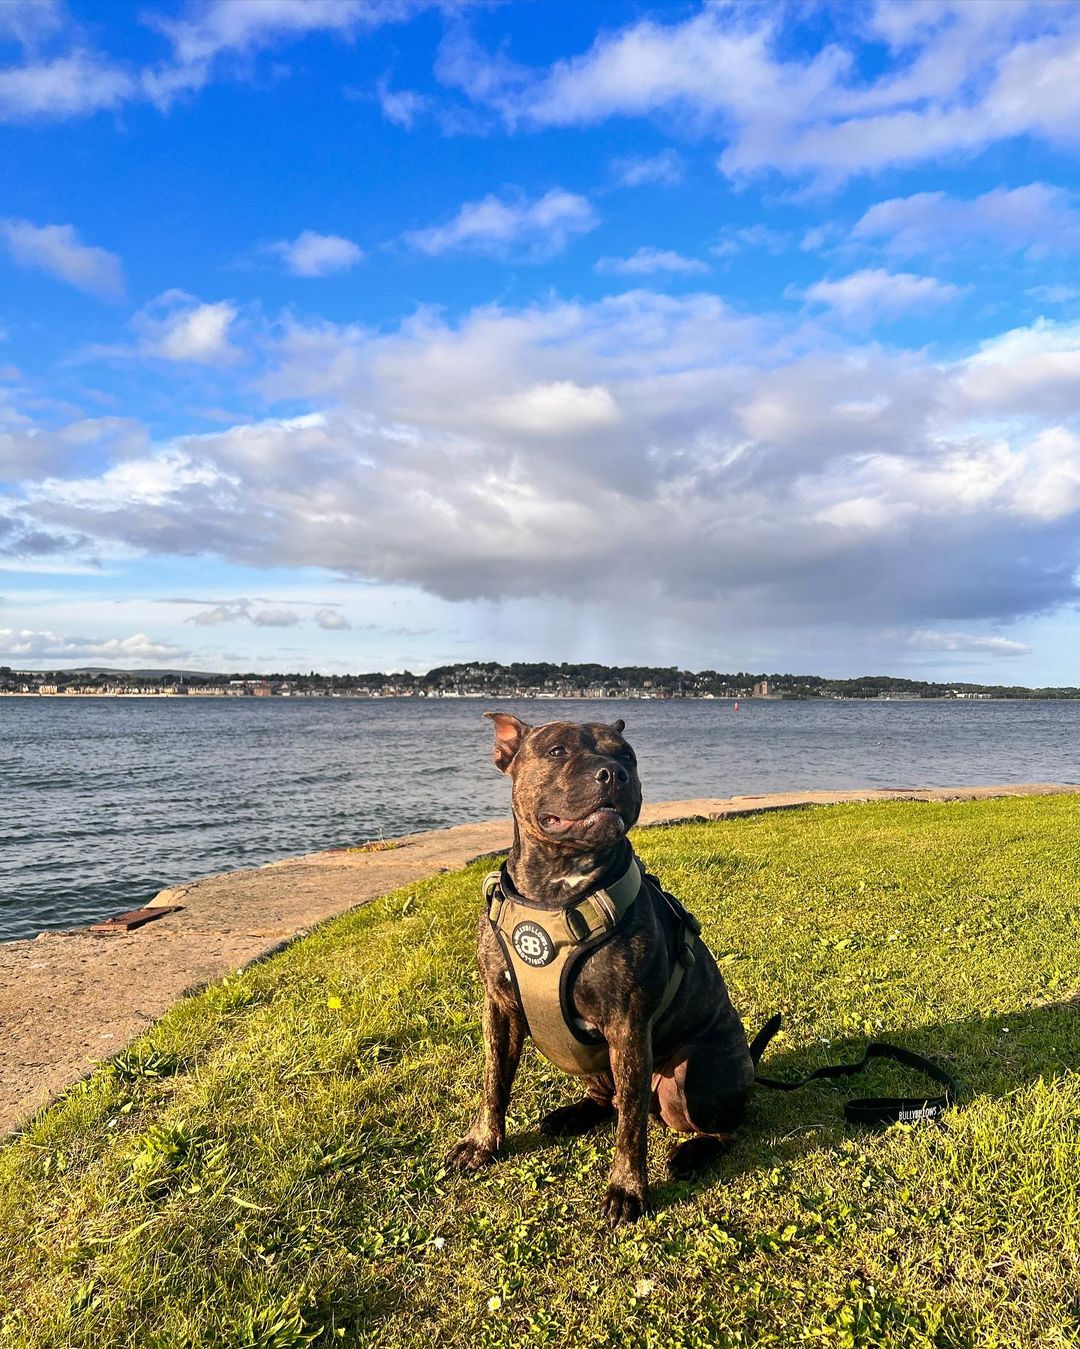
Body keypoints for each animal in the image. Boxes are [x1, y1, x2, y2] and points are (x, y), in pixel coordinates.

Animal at [442, 717, 755, 1224]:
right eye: (556, 751)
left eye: (627, 756)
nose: (613, 773)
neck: (554, 890)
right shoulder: (500, 1009)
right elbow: (493, 1082)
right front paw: (481, 1143)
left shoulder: (627, 1026)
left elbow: (630, 1125)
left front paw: (627, 1190)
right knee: (607, 1099)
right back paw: (571, 1115)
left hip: (692, 1076)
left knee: (719, 1127)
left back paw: (693, 1152)